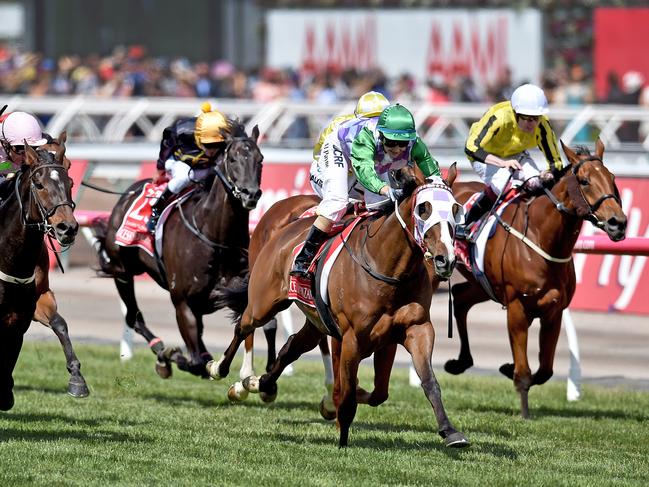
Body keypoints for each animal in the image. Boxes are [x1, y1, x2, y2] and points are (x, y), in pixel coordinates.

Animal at [91, 122, 264, 382]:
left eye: (260, 160)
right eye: (233, 159)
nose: (250, 194)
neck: (215, 237)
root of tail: (129, 192)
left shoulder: (233, 293)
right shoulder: (182, 302)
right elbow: (195, 362)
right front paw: (172, 357)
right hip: (123, 270)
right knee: (134, 316)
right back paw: (161, 351)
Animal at [210, 166, 468, 448]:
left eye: (456, 209)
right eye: (424, 208)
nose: (446, 259)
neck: (386, 268)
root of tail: (285, 228)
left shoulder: (412, 329)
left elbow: (415, 384)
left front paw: (450, 431)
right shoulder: (351, 338)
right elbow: (347, 393)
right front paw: (342, 435)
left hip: (316, 323)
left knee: (291, 347)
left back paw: (261, 383)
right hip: (263, 303)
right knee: (243, 326)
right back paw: (225, 373)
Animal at [442, 140, 624, 420]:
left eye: (612, 178)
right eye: (584, 181)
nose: (618, 223)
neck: (541, 236)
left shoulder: (554, 311)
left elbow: (545, 369)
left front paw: (508, 367)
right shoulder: (517, 308)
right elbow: (525, 371)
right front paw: (525, 413)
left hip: (482, 282)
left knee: (460, 299)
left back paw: (460, 362)